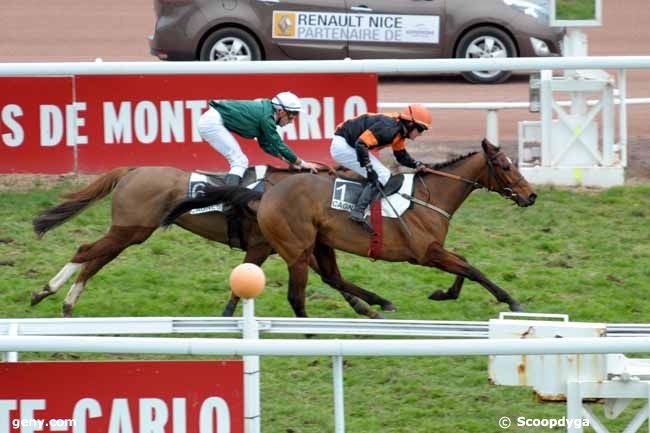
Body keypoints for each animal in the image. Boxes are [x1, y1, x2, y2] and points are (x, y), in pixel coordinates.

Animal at [30, 165, 392, 318]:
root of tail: (131, 170)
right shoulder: (269, 245)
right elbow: (328, 276)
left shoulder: (286, 245)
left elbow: (332, 278)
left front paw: (366, 307)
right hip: (130, 230)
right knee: (85, 251)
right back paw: (46, 291)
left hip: (128, 234)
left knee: (94, 259)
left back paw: (66, 302)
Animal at [163, 138, 536, 318]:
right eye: (505, 166)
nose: (531, 195)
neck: (431, 196)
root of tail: (265, 191)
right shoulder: (426, 252)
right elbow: (471, 268)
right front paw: (511, 300)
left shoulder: (434, 251)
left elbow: (465, 265)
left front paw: (443, 293)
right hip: (297, 248)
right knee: (300, 292)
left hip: (318, 242)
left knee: (330, 278)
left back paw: (375, 306)